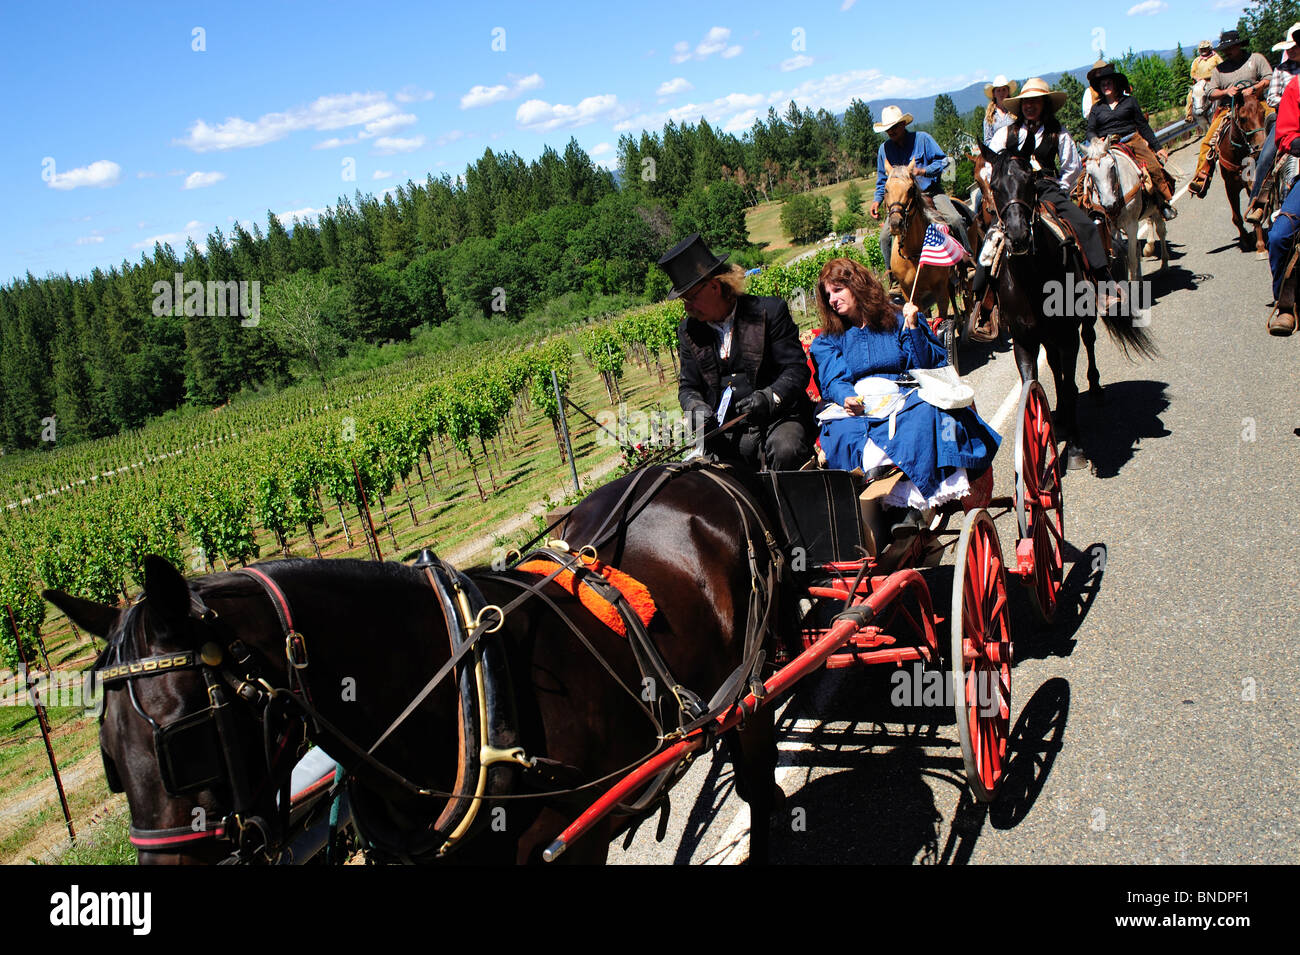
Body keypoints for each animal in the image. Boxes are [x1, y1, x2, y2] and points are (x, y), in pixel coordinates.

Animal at [45, 462, 780, 867]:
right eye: (109, 759)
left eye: (183, 742)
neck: (468, 701)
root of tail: (691, 471)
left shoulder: (577, 842)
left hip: (754, 686)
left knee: (757, 779)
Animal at [977, 139, 1154, 470]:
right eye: (994, 186)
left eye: (1030, 180)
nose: (1018, 236)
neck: (1032, 280)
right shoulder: (1024, 341)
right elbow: (1032, 383)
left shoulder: (1067, 336)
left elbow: (1071, 385)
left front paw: (1074, 449)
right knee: (1055, 365)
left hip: (1081, 321)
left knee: (1089, 342)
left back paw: (1093, 389)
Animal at [1076, 136, 1170, 281]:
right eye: (1090, 173)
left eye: (1112, 167)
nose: (1109, 204)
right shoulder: (1112, 228)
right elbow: (1125, 252)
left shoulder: (1131, 224)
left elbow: (1131, 258)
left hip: (1155, 207)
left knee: (1160, 230)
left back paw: (1163, 264)